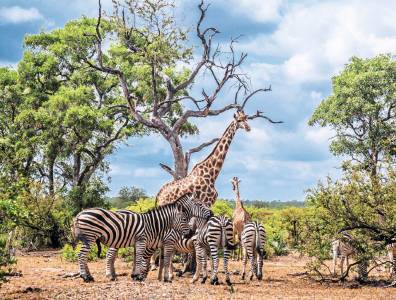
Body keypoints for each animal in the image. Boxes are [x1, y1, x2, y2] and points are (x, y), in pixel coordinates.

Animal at [72, 193, 212, 282]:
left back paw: (100, 276)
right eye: (200, 204)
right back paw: (88, 277)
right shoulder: (155, 241)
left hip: (96, 239)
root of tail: (79, 214)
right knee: (83, 255)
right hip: (91, 237)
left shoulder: (155, 243)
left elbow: (157, 260)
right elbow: (148, 259)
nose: (211, 213)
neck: (155, 224)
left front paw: (156, 277)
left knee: (91, 256)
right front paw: (141, 276)